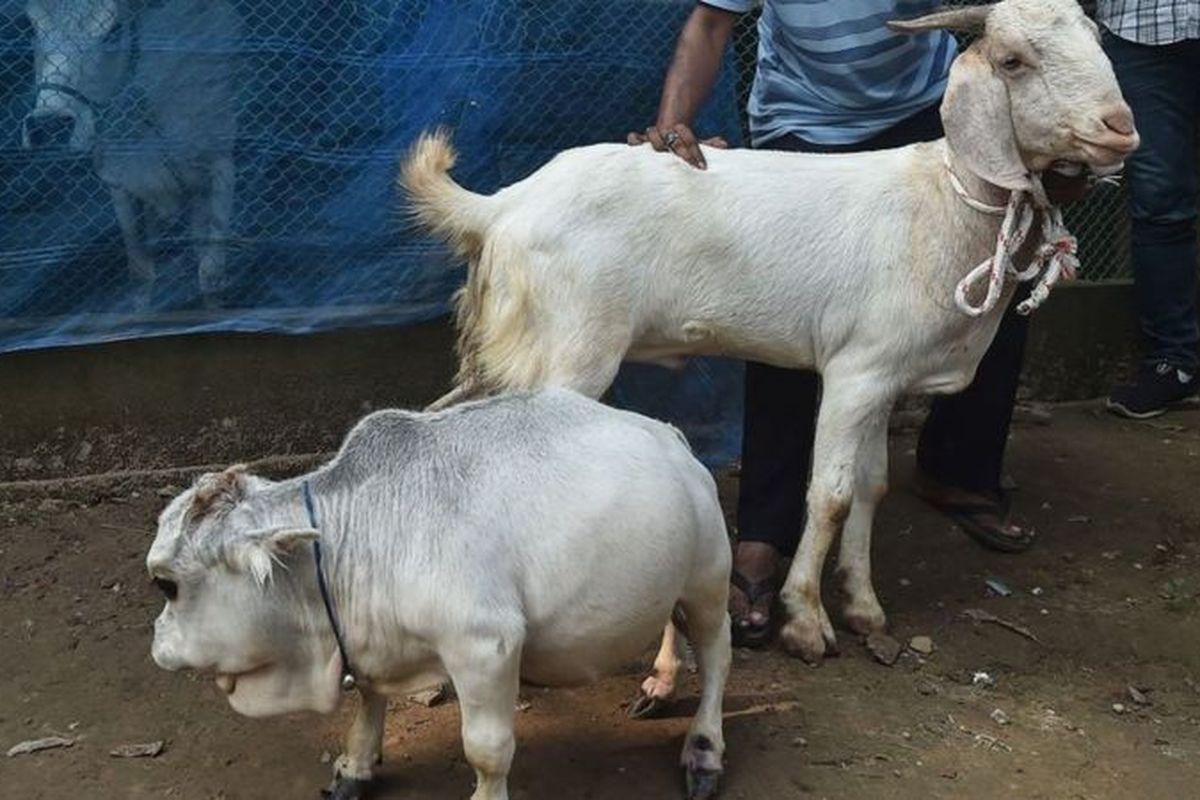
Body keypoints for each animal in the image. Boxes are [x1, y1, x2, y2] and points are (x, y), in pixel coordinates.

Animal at [150, 391, 729, 800]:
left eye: (165, 583)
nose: (156, 643)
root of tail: (669, 435)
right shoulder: (372, 645)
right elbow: (369, 700)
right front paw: (355, 767)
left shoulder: (486, 645)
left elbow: (488, 751)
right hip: (670, 576)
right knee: (670, 622)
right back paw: (660, 684)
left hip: (708, 579)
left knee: (716, 656)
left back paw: (703, 749)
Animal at [398, 0, 1137, 662]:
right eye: (1013, 60)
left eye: (1097, 39)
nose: (1120, 126)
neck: (943, 201)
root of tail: (502, 205)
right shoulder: (855, 372)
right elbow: (830, 496)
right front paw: (806, 621)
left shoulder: (884, 374)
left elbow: (871, 488)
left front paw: (864, 607)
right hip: (568, 348)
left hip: (513, 347)